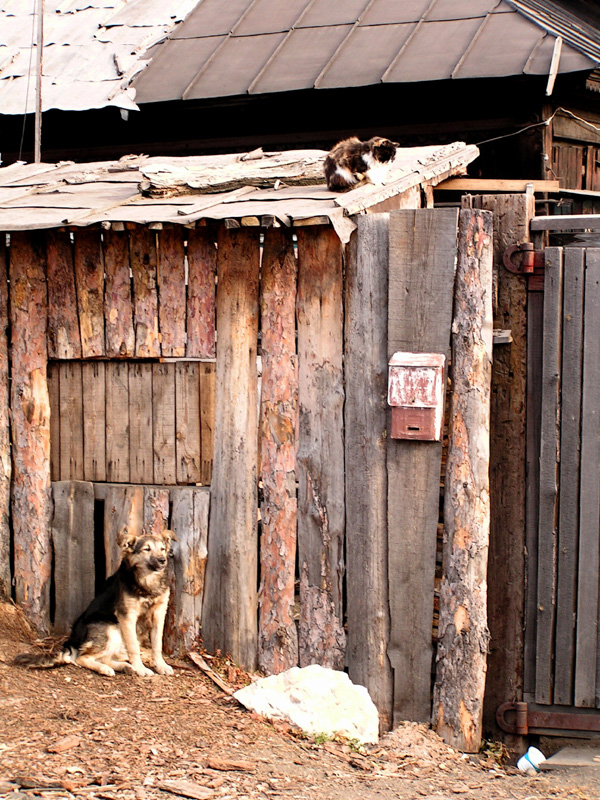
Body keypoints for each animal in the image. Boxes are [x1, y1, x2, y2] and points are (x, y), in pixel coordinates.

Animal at [14, 528, 176, 680]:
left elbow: (157, 645)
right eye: (147, 549)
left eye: (162, 549)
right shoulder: (127, 616)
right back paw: (108, 668)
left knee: (104, 658)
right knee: (82, 658)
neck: (148, 582)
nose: (162, 560)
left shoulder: (159, 614)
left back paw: (124, 667)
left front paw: (161, 665)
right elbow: (133, 646)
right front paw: (141, 668)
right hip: (111, 629)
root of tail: (72, 640)